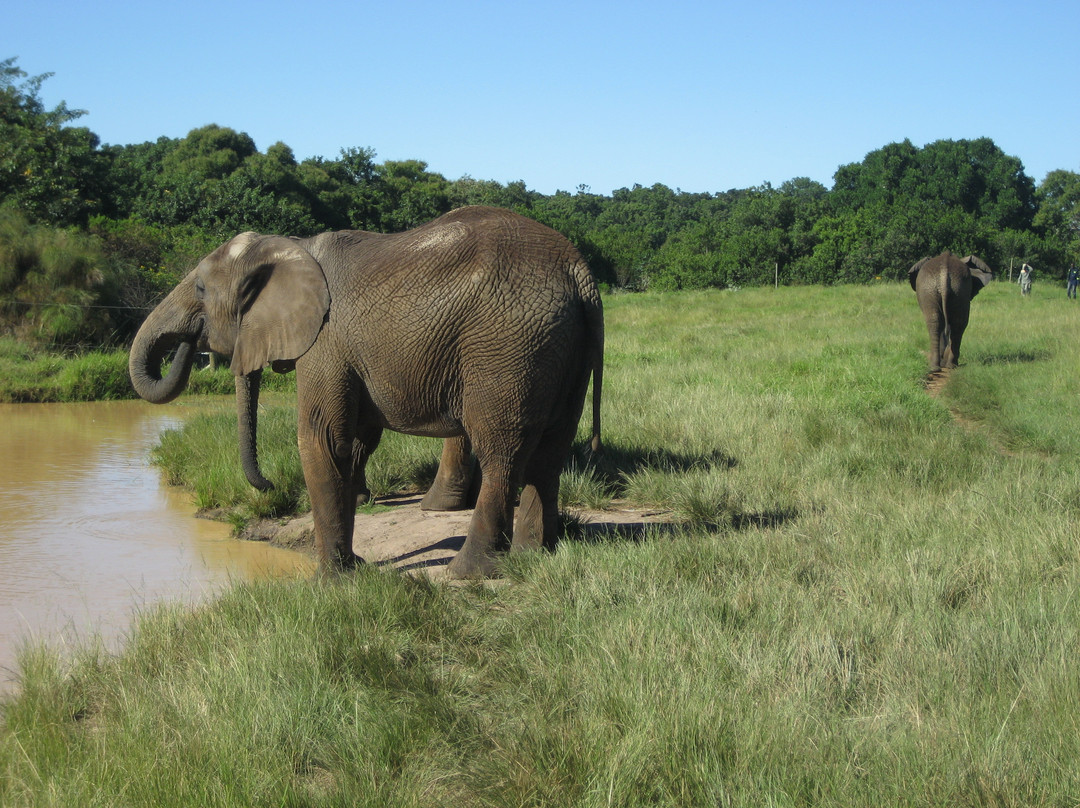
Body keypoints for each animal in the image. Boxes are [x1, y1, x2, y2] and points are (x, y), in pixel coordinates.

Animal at [129, 206, 604, 579]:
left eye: (201, 290)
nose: (268, 486)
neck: (289, 247)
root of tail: (579, 273)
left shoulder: (325, 341)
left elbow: (323, 439)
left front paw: (331, 581)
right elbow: (356, 438)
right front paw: (353, 562)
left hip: (507, 348)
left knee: (501, 453)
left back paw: (467, 573)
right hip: (556, 346)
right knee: (550, 451)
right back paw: (533, 557)